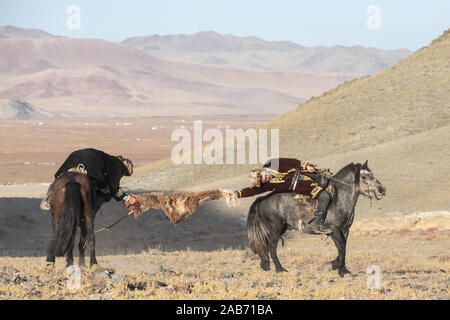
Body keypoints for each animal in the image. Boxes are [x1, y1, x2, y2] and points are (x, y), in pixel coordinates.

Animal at [246, 161, 386, 276]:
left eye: (371, 174)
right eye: (363, 177)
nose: (382, 189)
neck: (339, 199)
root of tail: (262, 199)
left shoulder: (345, 230)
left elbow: (343, 248)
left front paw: (342, 269)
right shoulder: (334, 230)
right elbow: (341, 248)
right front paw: (336, 267)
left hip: (279, 228)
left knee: (265, 246)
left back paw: (265, 265)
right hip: (275, 228)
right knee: (271, 247)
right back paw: (280, 269)